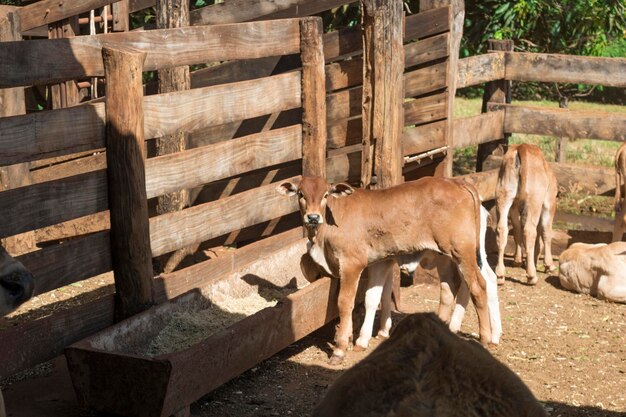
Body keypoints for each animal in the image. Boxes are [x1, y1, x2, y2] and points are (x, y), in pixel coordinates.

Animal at [278, 174, 498, 362]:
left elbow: (345, 302)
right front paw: (358, 340)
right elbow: (372, 298)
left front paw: (340, 348)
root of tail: (458, 182)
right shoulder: (378, 262)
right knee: (449, 288)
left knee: (478, 286)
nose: (313, 217)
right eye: (301, 194)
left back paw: (486, 338)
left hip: (462, 251)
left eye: (325, 194)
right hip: (444, 255)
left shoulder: (352, 264)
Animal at [492, 143, 556, 282]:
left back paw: (500, 274)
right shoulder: (549, 203)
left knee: (502, 229)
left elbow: (517, 230)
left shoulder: (515, 206)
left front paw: (517, 260)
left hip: (503, 196)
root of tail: (521, 147)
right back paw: (531, 275)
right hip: (534, 200)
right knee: (529, 231)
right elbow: (546, 232)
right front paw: (549, 265)